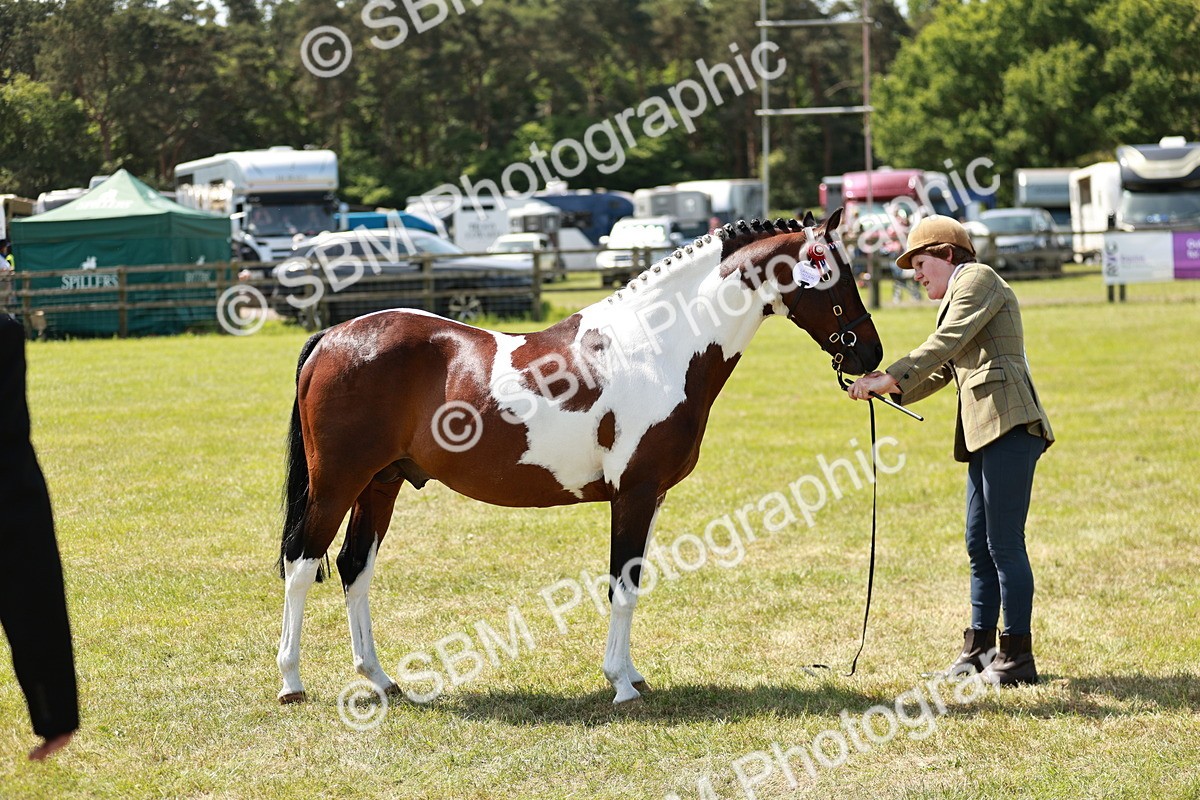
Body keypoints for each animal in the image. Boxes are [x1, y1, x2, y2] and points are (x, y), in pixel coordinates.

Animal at [276, 211, 883, 705]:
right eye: (837, 274)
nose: (871, 353)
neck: (657, 347)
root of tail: (333, 334)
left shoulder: (652, 496)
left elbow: (634, 581)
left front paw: (632, 675)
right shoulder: (633, 492)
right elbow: (621, 586)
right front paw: (620, 685)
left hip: (381, 484)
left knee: (355, 568)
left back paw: (381, 680)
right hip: (337, 484)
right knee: (302, 565)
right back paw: (291, 682)